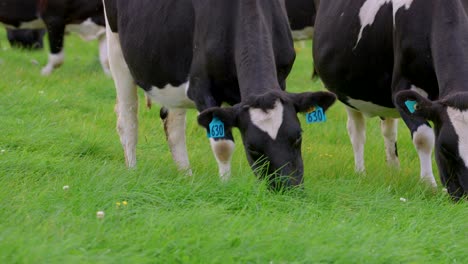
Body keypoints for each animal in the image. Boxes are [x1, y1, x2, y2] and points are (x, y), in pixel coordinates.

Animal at [103, 0, 336, 190]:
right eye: (252, 148)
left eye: (298, 137)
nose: (289, 189)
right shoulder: (201, 88)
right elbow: (223, 145)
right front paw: (226, 186)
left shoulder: (281, 77)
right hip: (116, 49)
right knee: (128, 118)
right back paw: (132, 170)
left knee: (174, 126)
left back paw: (186, 176)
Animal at [312, 0, 468, 198]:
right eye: (445, 149)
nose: (465, 194)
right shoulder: (403, 87)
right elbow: (423, 138)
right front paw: (429, 186)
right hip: (346, 91)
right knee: (356, 131)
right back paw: (361, 173)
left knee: (388, 130)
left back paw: (394, 170)